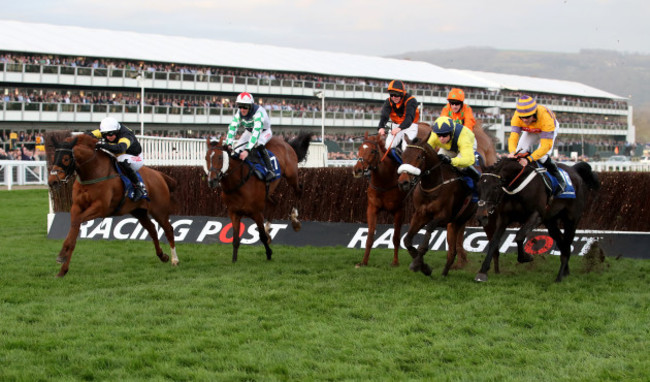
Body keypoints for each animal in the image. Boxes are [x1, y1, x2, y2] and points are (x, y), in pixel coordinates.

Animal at [47, 134, 180, 278]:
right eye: (54, 157)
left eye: (65, 159)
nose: (52, 181)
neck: (93, 172)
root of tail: (159, 175)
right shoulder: (77, 206)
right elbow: (74, 230)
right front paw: (63, 267)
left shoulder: (101, 208)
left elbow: (77, 222)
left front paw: (62, 255)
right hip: (139, 211)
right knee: (152, 229)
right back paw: (162, 256)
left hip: (159, 210)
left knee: (168, 229)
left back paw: (174, 260)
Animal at [205, 133, 312, 262]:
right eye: (206, 158)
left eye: (220, 157)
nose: (212, 181)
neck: (238, 183)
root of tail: (285, 143)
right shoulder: (234, 213)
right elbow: (235, 239)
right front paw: (234, 260)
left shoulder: (256, 213)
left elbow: (262, 236)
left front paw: (269, 254)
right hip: (267, 193)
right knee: (274, 203)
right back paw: (269, 230)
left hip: (291, 175)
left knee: (299, 190)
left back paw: (295, 219)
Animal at [350, 124, 430, 268]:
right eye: (359, 149)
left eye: (373, 151)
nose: (357, 170)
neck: (384, 180)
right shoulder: (372, 208)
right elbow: (370, 237)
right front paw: (364, 262)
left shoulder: (399, 210)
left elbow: (396, 237)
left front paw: (395, 262)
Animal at [394, 136, 480, 276]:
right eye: (403, 156)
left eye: (419, 157)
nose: (403, 182)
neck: (432, 186)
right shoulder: (420, 215)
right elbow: (407, 240)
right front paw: (423, 266)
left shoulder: (443, 217)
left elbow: (428, 232)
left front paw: (417, 264)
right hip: (453, 224)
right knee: (452, 251)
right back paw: (444, 273)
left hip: (461, 219)